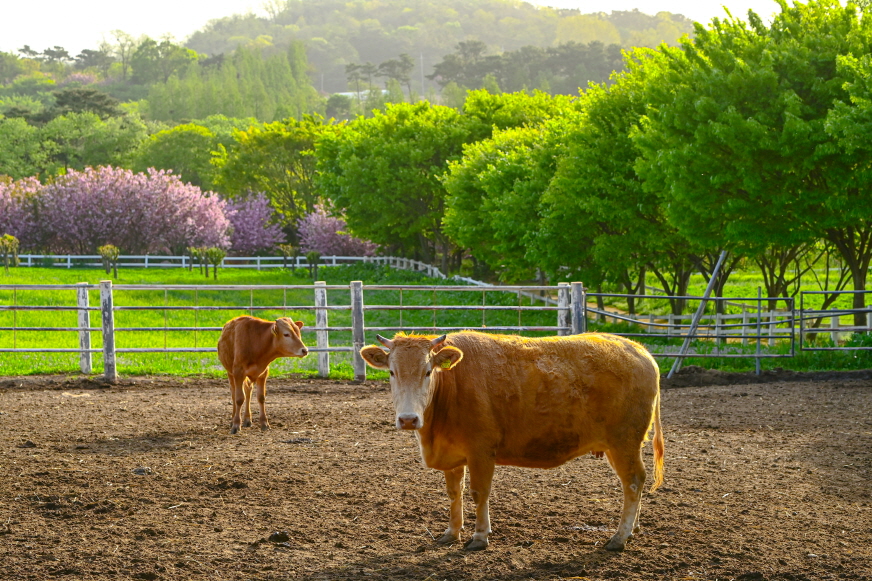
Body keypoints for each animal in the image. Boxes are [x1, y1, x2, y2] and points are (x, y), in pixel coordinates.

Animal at [358, 328, 664, 552]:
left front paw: (480, 537)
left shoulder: (481, 451)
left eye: (428, 371)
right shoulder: (453, 455)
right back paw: (633, 529)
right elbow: (454, 493)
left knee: (632, 481)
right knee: (636, 481)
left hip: (624, 442)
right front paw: (451, 532)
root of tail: (638, 349)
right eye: (392, 372)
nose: (408, 419)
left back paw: (619, 537)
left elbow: (478, 493)